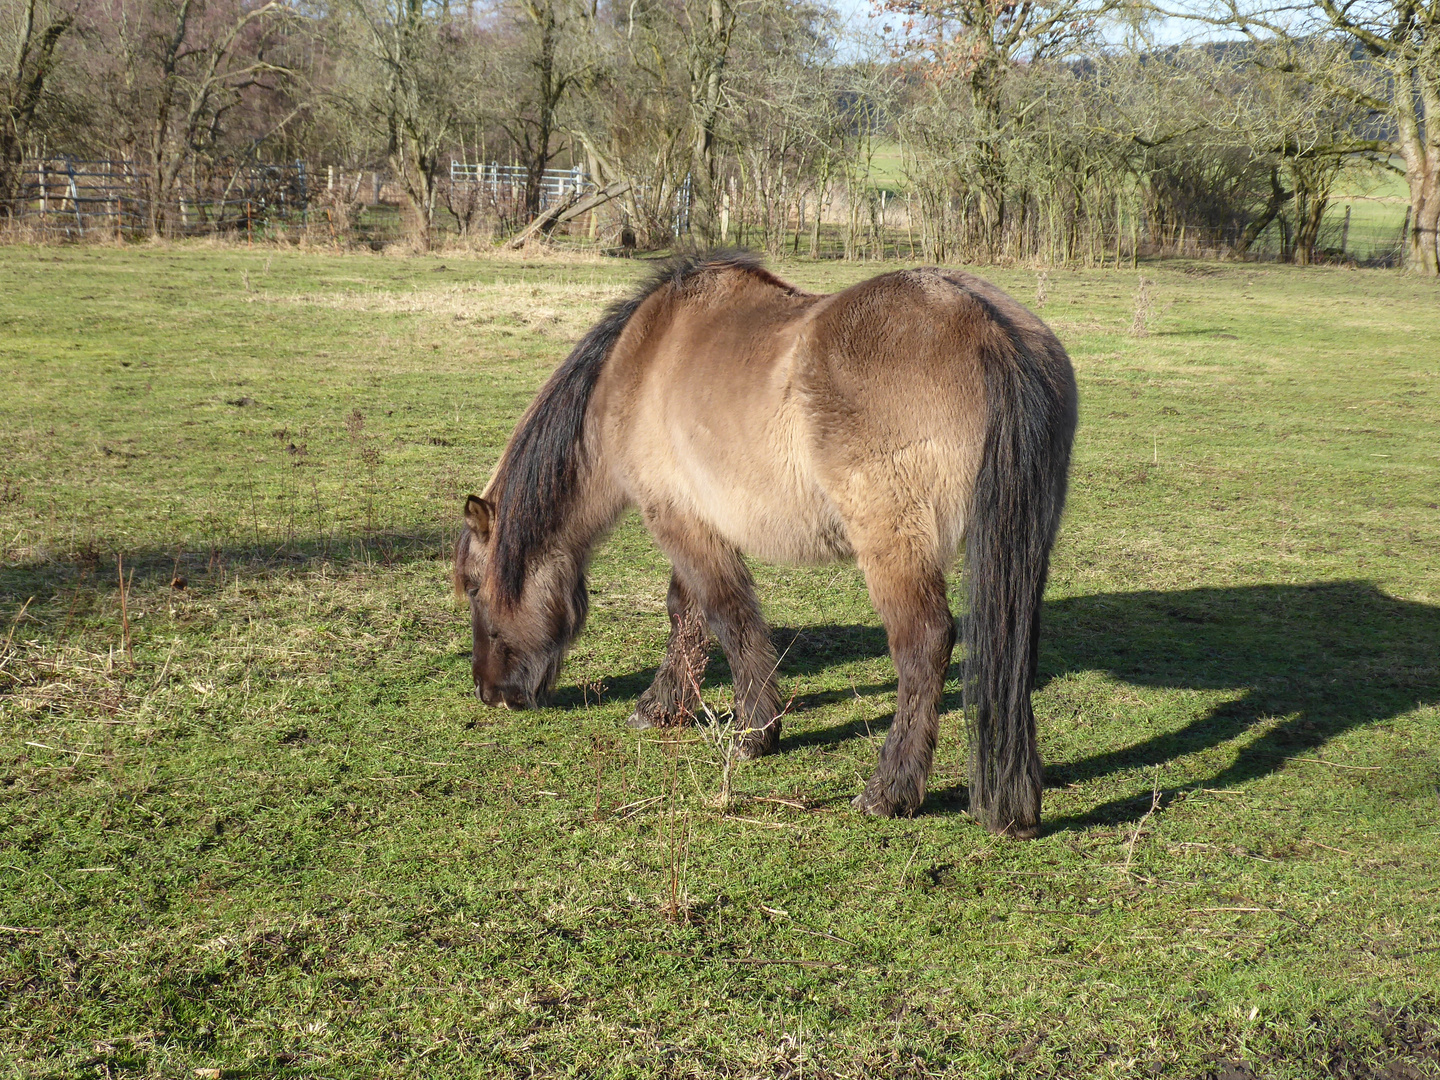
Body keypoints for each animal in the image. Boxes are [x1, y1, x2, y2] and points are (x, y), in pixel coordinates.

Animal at [455, 252, 1077, 835]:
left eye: (474, 588)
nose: (489, 692)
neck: (640, 362)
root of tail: (990, 328)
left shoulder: (675, 519)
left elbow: (726, 617)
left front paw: (754, 731)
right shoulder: (696, 517)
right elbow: (687, 613)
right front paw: (663, 707)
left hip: (894, 550)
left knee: (924, 645)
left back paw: (889, 791)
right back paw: (1015, 804)